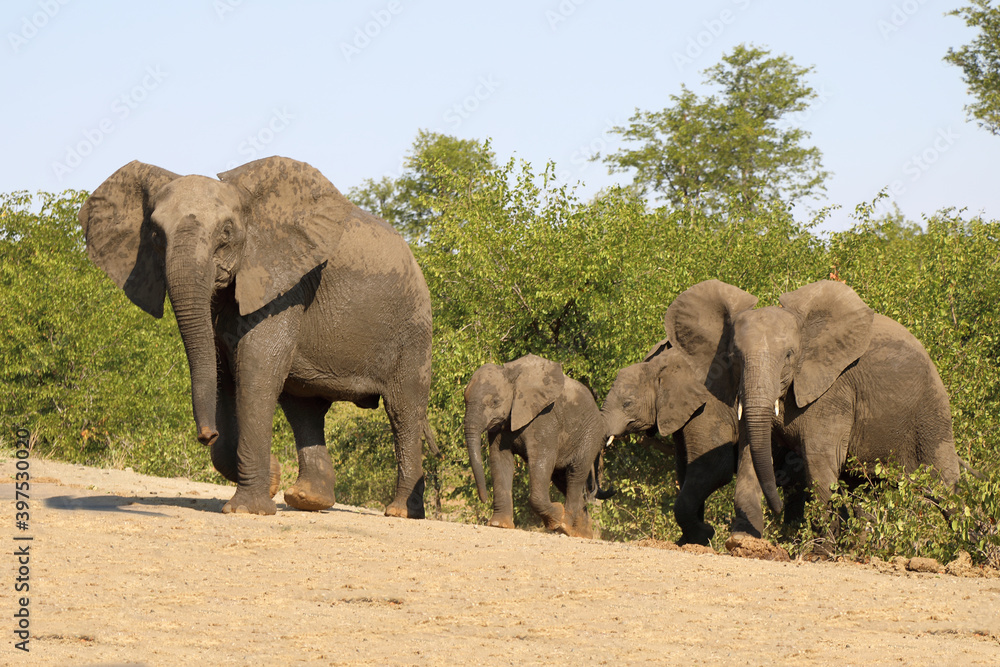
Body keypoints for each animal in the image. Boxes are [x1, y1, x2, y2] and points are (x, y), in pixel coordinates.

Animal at [79, 157, 436, 517]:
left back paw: (402, 512)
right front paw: (273, 478)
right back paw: (307, 499)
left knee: (403, 409)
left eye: (226, 232)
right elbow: (222, 372)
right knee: (304, 407)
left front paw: (246, 510)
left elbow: (256, 369)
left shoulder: (283, 283)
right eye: (154, 234)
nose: (206, 435)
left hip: (412, 328)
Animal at [464, 354, 613, 538]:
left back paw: (565, 525)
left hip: (590, 435)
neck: (511, 375)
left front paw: (557, 515)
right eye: (464, 399)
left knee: (575, 474)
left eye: (495, 401)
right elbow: (500, 460)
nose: (483, 499)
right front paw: (499, 525)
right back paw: (580, 533)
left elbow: (542, 460)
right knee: (562, 479)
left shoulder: (544, 417)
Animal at [665, 279, 961, 538]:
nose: (778, 509)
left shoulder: (834, 389)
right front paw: (743, 542)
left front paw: (819, 552)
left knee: (947, 488)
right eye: (733, 357)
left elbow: (819, 460)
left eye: (789, 356)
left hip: (931, 412)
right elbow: (750, 457)